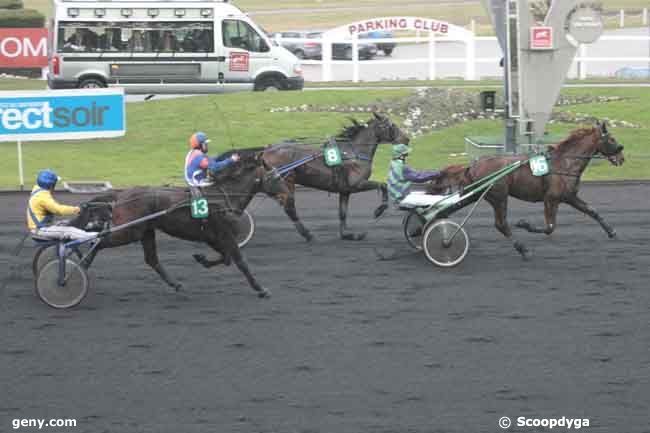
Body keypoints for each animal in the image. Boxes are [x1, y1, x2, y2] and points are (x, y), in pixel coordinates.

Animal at [77, 154, 288, 298]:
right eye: (277, 177)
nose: (286, 194)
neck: (224, 196)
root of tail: (121, 195)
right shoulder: (224, 234)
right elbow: (240, 261)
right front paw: (261, 289)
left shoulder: (213, 237)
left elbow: (226, 258)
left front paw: (202, 259)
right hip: (130, 231)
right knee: (100, 241)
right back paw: (82, 266)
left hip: (146, 231)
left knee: (151, 259)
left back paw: (176, 284)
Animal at [256, 111, 404, 240]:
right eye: (390, 125)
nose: (405, 138)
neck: (354, 153)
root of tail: (267, 150)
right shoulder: (356, 184)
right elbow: (383, 185)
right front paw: (379, 210)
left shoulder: (345, 190)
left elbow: (342, 213)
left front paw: (347, 234)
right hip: (286, 182)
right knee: (289, 207)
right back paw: (307, 234)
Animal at [426, 120, 624, 258]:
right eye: (612, 139)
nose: (622, 157)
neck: (565, 162)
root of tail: (473, 165)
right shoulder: (551, 198)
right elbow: (550, 227)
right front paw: (524, 224)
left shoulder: (569, 196)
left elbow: (592, 211)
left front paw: (612, 231)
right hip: (499, 196)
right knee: (501, 224)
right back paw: (522, 249)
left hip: (476, 194)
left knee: (450, 209)